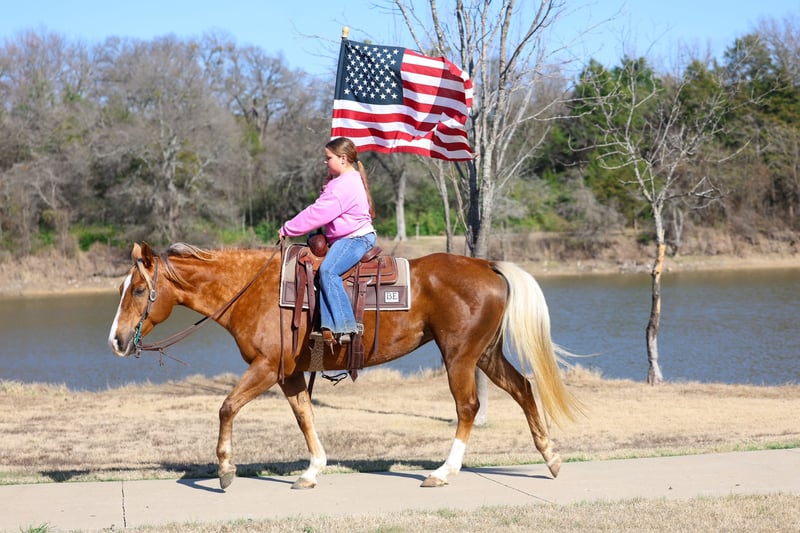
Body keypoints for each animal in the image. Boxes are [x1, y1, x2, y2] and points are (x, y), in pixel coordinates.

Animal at [108, 241, 581, 490]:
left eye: (137, 290)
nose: (115, 339)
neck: (253, 291)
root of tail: (487, 264)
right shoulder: (290, 373)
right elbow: (305, 416)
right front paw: (313, 470)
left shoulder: (266, 367)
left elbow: (226, 407)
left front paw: (225, 469)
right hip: (484, 353)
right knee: (523, 388)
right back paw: (552, 458)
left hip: (460, 355)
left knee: (468, 408)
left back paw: (443, 472)